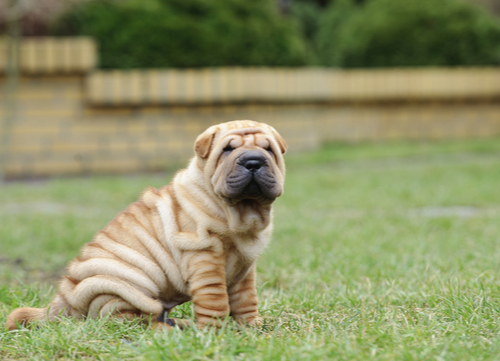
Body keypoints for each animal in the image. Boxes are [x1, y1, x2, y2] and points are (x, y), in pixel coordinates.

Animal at [5, 120, 288, 330]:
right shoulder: (204, 257)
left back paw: (180, 323)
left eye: (269, 150)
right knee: (123, 319)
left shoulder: (245, 267)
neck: (243, 212)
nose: (253, 161)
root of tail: (63, 298)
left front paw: (252, 327)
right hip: (122, 286)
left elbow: (246, 300)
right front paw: (215, 333)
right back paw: (170, 328)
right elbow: (215, 300)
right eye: (227, 150)